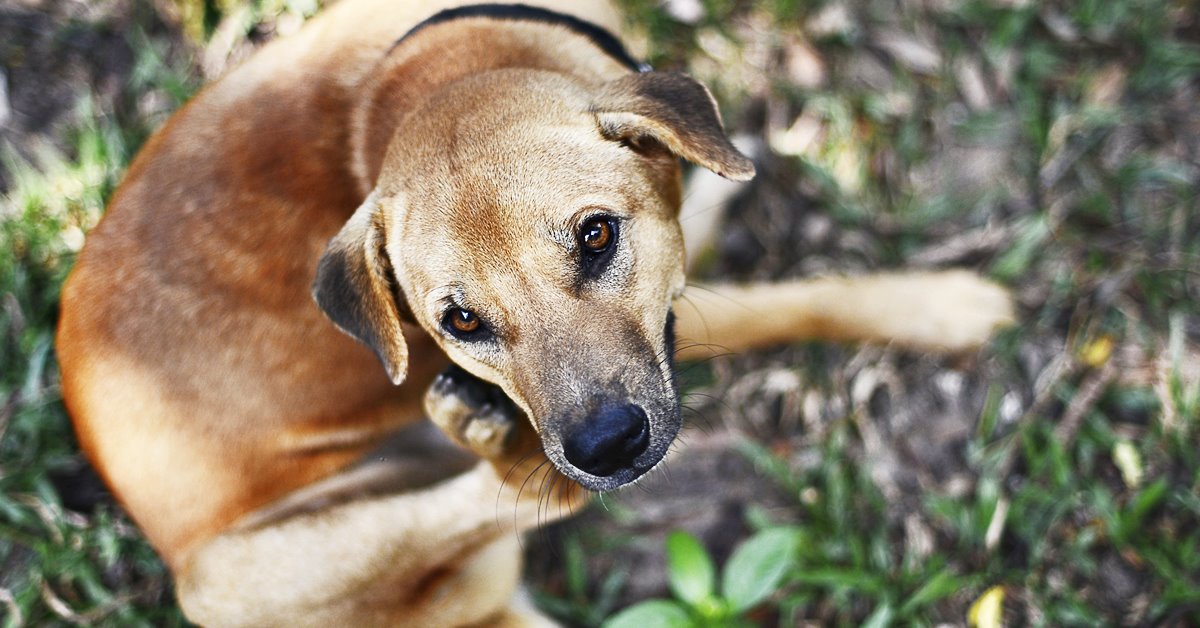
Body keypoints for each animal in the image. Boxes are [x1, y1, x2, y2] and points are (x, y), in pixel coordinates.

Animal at [56, 2, 1012, 624]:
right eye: (459, 323)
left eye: (596, 235)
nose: (604, 447)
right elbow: (792, 303)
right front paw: (938, 305)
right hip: (227, 576)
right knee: (520, 499)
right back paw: (493, 441)